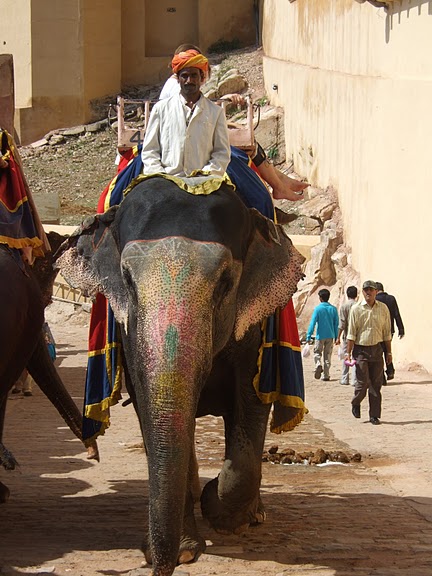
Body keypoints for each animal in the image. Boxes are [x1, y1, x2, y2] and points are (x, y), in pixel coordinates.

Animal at [55, 177, 306, 576]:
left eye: (225, 282)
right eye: (127, 280)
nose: (158, 564)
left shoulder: (255, 325)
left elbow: (251, 400)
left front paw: (217, 509)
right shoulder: (129, 333)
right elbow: (149, 404)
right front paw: (186, 550)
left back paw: (252, 516)